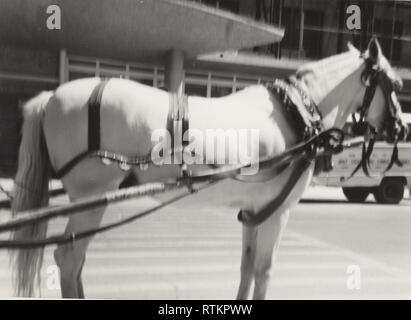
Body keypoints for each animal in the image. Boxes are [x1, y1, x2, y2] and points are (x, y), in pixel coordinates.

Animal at [10, 38, 408, 298]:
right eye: (395, 83)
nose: (401, 129)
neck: (295, 113)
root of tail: (52, 97)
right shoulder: (277, 213)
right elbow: (264, 271)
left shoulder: (256, 211)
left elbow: (247, 268)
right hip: (92, 198)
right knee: (69, 259)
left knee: (74, 262)